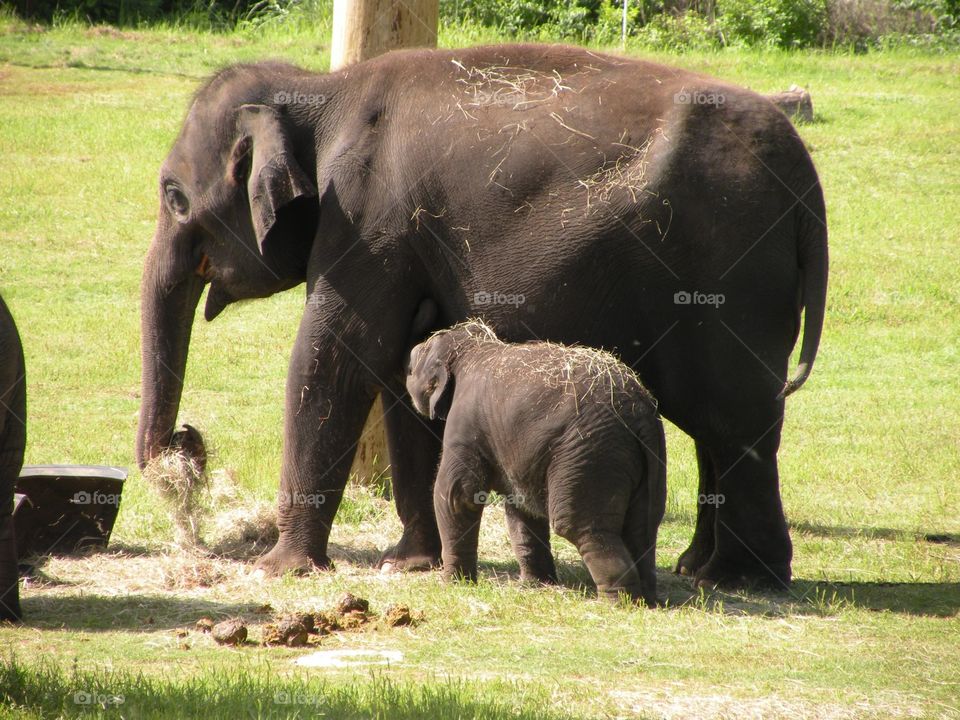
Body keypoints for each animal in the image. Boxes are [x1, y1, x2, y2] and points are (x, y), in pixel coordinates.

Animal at [406, 320, 668, 608]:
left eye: (411, 369)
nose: (409, 357)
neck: (476, 346)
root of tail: (640, 412)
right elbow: (521, 507)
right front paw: (534, 585)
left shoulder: (464, 423)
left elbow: (457, 495)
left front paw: (453, 585)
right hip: (644, 459)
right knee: (643, 525)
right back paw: (647, 599)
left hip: (591, 454)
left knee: (580, 526)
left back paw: (616, 604)